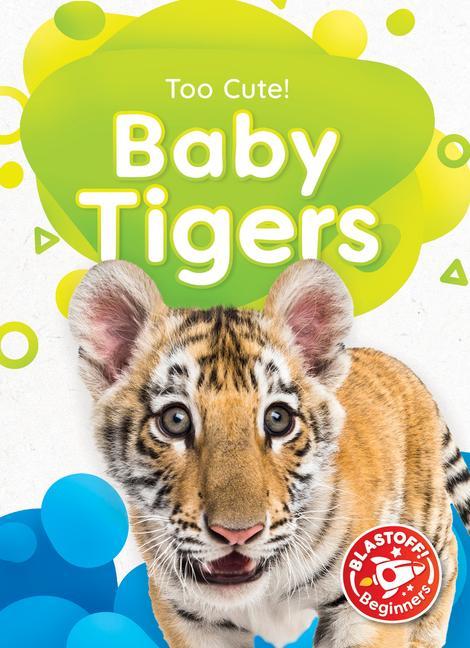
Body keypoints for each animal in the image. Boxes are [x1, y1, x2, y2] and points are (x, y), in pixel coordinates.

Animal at [69, 258, 470, 648]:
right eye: (176, 420)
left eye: (278, 419)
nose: (237, 534)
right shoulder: (190, 614)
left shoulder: (360, 600)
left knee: (448, 550)